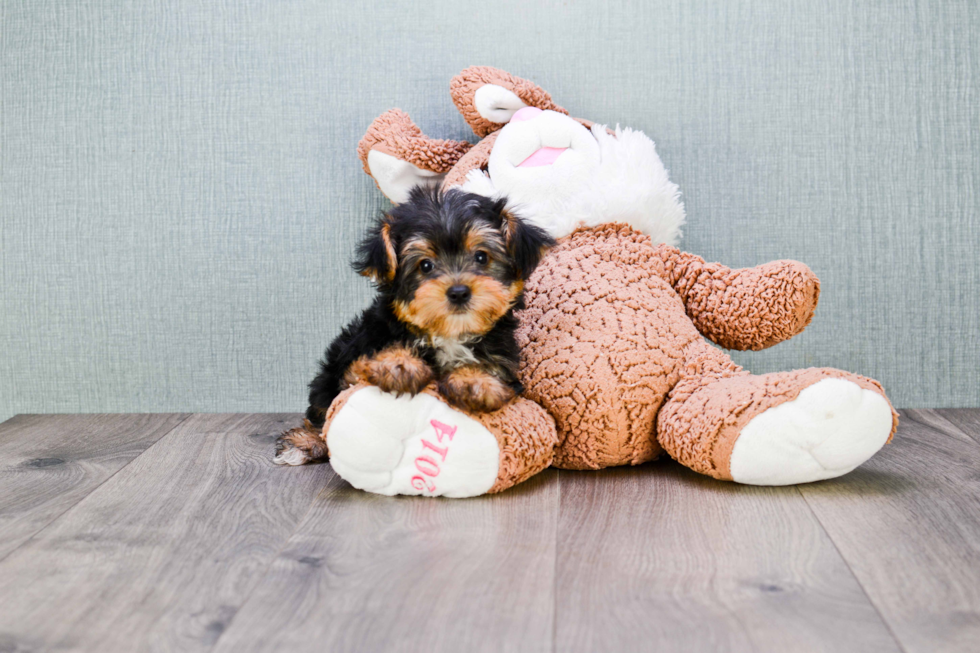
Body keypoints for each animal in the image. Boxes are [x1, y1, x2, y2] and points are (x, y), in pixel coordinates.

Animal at [272, 186, 556, 466]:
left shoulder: (505, 364)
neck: (447, 335)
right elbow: (365, 366)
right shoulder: (357, 357)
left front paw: (476, 380)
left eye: (481, 257)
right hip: (329, 374)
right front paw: (398, 364)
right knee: (321, 412)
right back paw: (304, 442)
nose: (459, 292)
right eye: (426, 265)